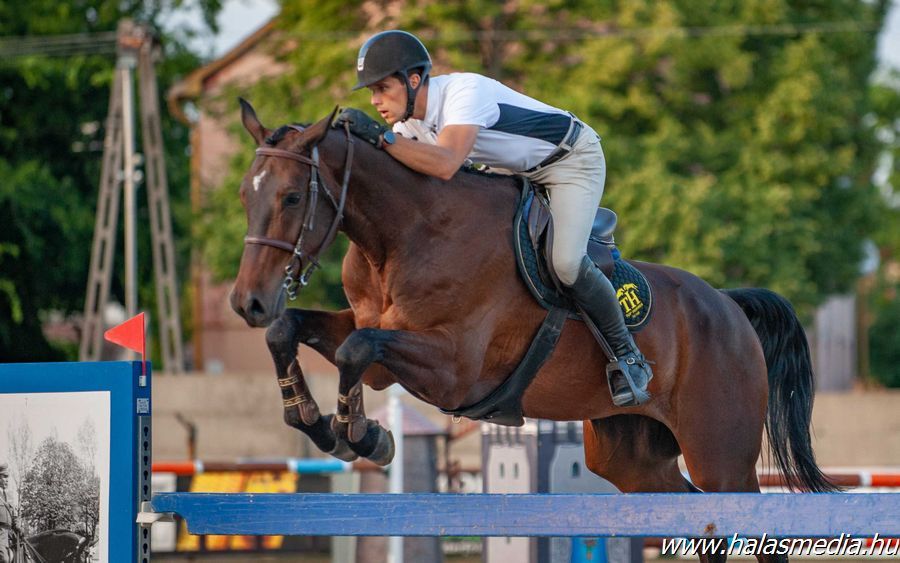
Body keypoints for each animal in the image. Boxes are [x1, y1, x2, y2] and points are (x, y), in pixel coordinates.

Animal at [230, 100, 836, 560]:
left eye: (291, 196)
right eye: (244, 195)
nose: (247, 302)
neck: (403, 236)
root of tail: (729, 306)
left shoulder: (453, 369)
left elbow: (355, 349)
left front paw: (361, 435)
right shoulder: (377, 347)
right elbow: (295, 334)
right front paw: (325, 424)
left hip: (721, 455)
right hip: (631, 457)